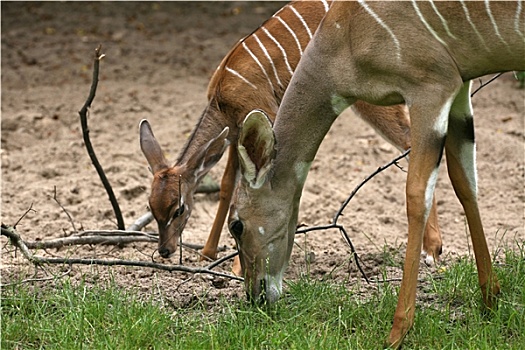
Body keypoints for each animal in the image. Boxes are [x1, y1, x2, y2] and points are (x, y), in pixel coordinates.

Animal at [139, 0, 442, 276]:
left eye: (178, 209)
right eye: (151, 207)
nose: (165, 250)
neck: (222, 100)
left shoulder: (263, 117)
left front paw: (238, 267)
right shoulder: (236, 132)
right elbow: (227, 186)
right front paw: (207, 253)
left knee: (414, 144)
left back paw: (432, 250)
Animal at [228, 0, 524, 348]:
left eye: (237, 225)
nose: (255, 296)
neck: (344, 38)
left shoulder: (432, 86)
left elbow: (416, 195)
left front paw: (397, 331)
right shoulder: (461, 85)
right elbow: (465, 181)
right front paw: (490, 299)